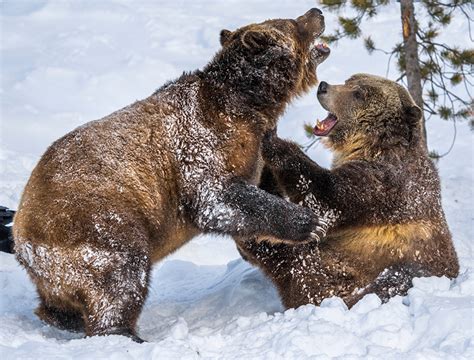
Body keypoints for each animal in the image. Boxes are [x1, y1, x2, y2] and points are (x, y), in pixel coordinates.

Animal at [12, 7, 330, 340]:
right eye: (293, 22)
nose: (316, 11)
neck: (247, 103)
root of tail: (21, 238)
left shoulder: (251, 147)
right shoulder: (203, 142)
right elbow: (216, 197)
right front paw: (311, 223)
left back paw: (64, 317)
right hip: (93, 222)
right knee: (120, 275)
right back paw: (123, 332)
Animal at [237, 74, 460, 310]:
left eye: (359, 93)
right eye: (349, 80)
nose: (323, 86)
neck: (370, 145)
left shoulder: (386, 184)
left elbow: (327, 197)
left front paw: (274, 140)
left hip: (361, 269)